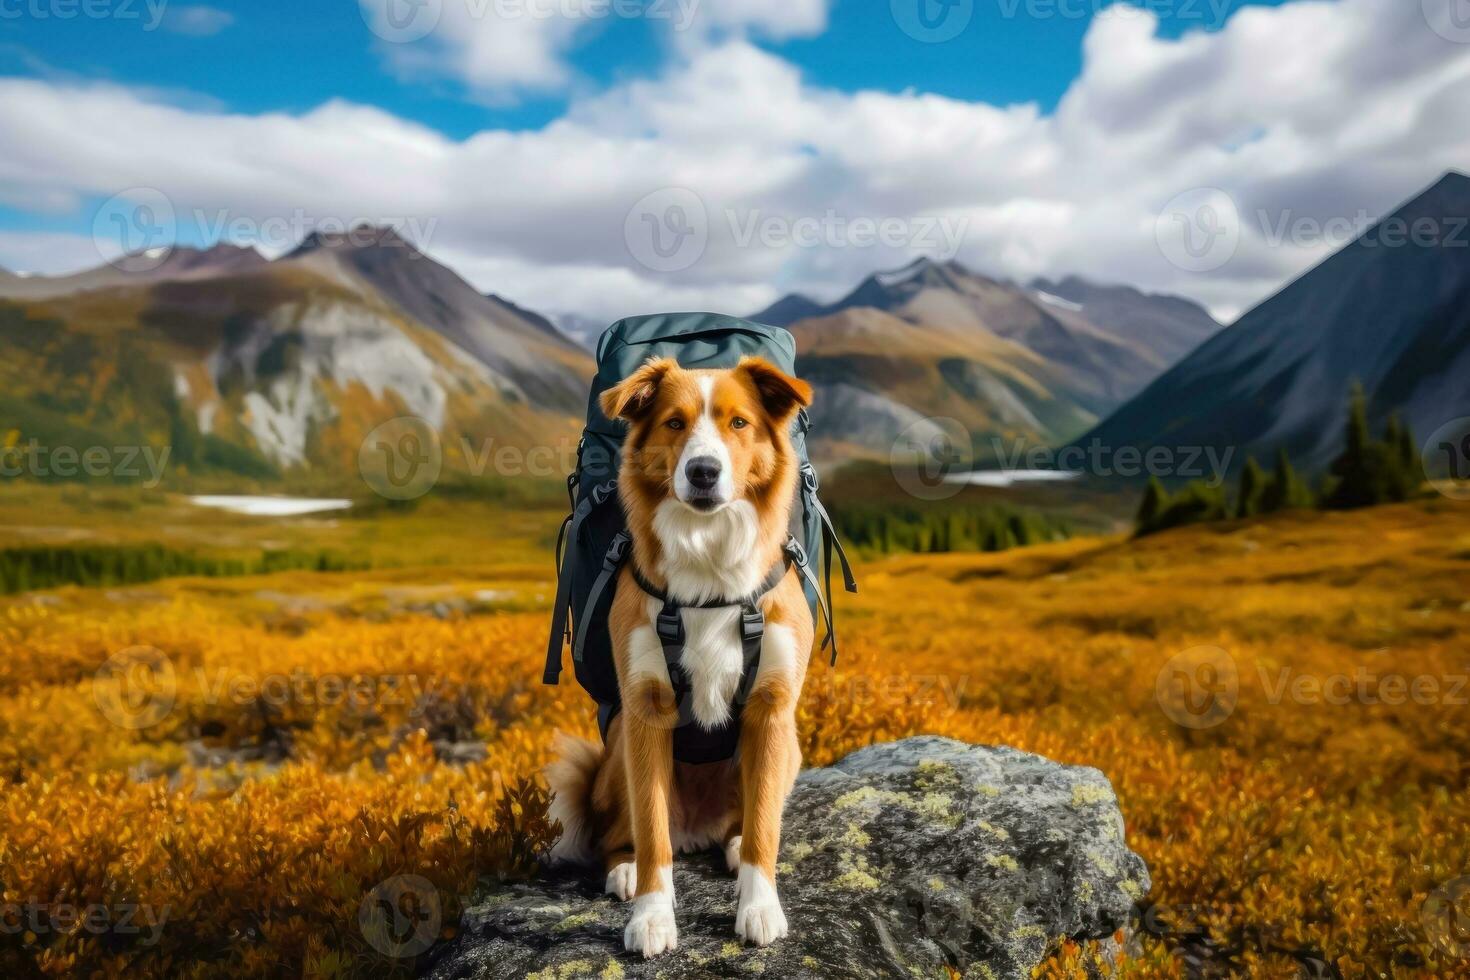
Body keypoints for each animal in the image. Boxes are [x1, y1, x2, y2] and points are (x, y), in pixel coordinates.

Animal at [546, 354, 817, 957]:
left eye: (739, 423)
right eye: (674, 423)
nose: (703, 473)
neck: (708, 566)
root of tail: (696, 830)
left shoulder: (771, 710)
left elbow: (764, 827)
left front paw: (759, 906)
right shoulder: (646, 712)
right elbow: (651, 835)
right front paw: (652, 916)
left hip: (788, 749)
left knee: (745, 821)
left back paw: (733, 846)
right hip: (618, 745)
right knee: (627, 836)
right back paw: (624, 870)